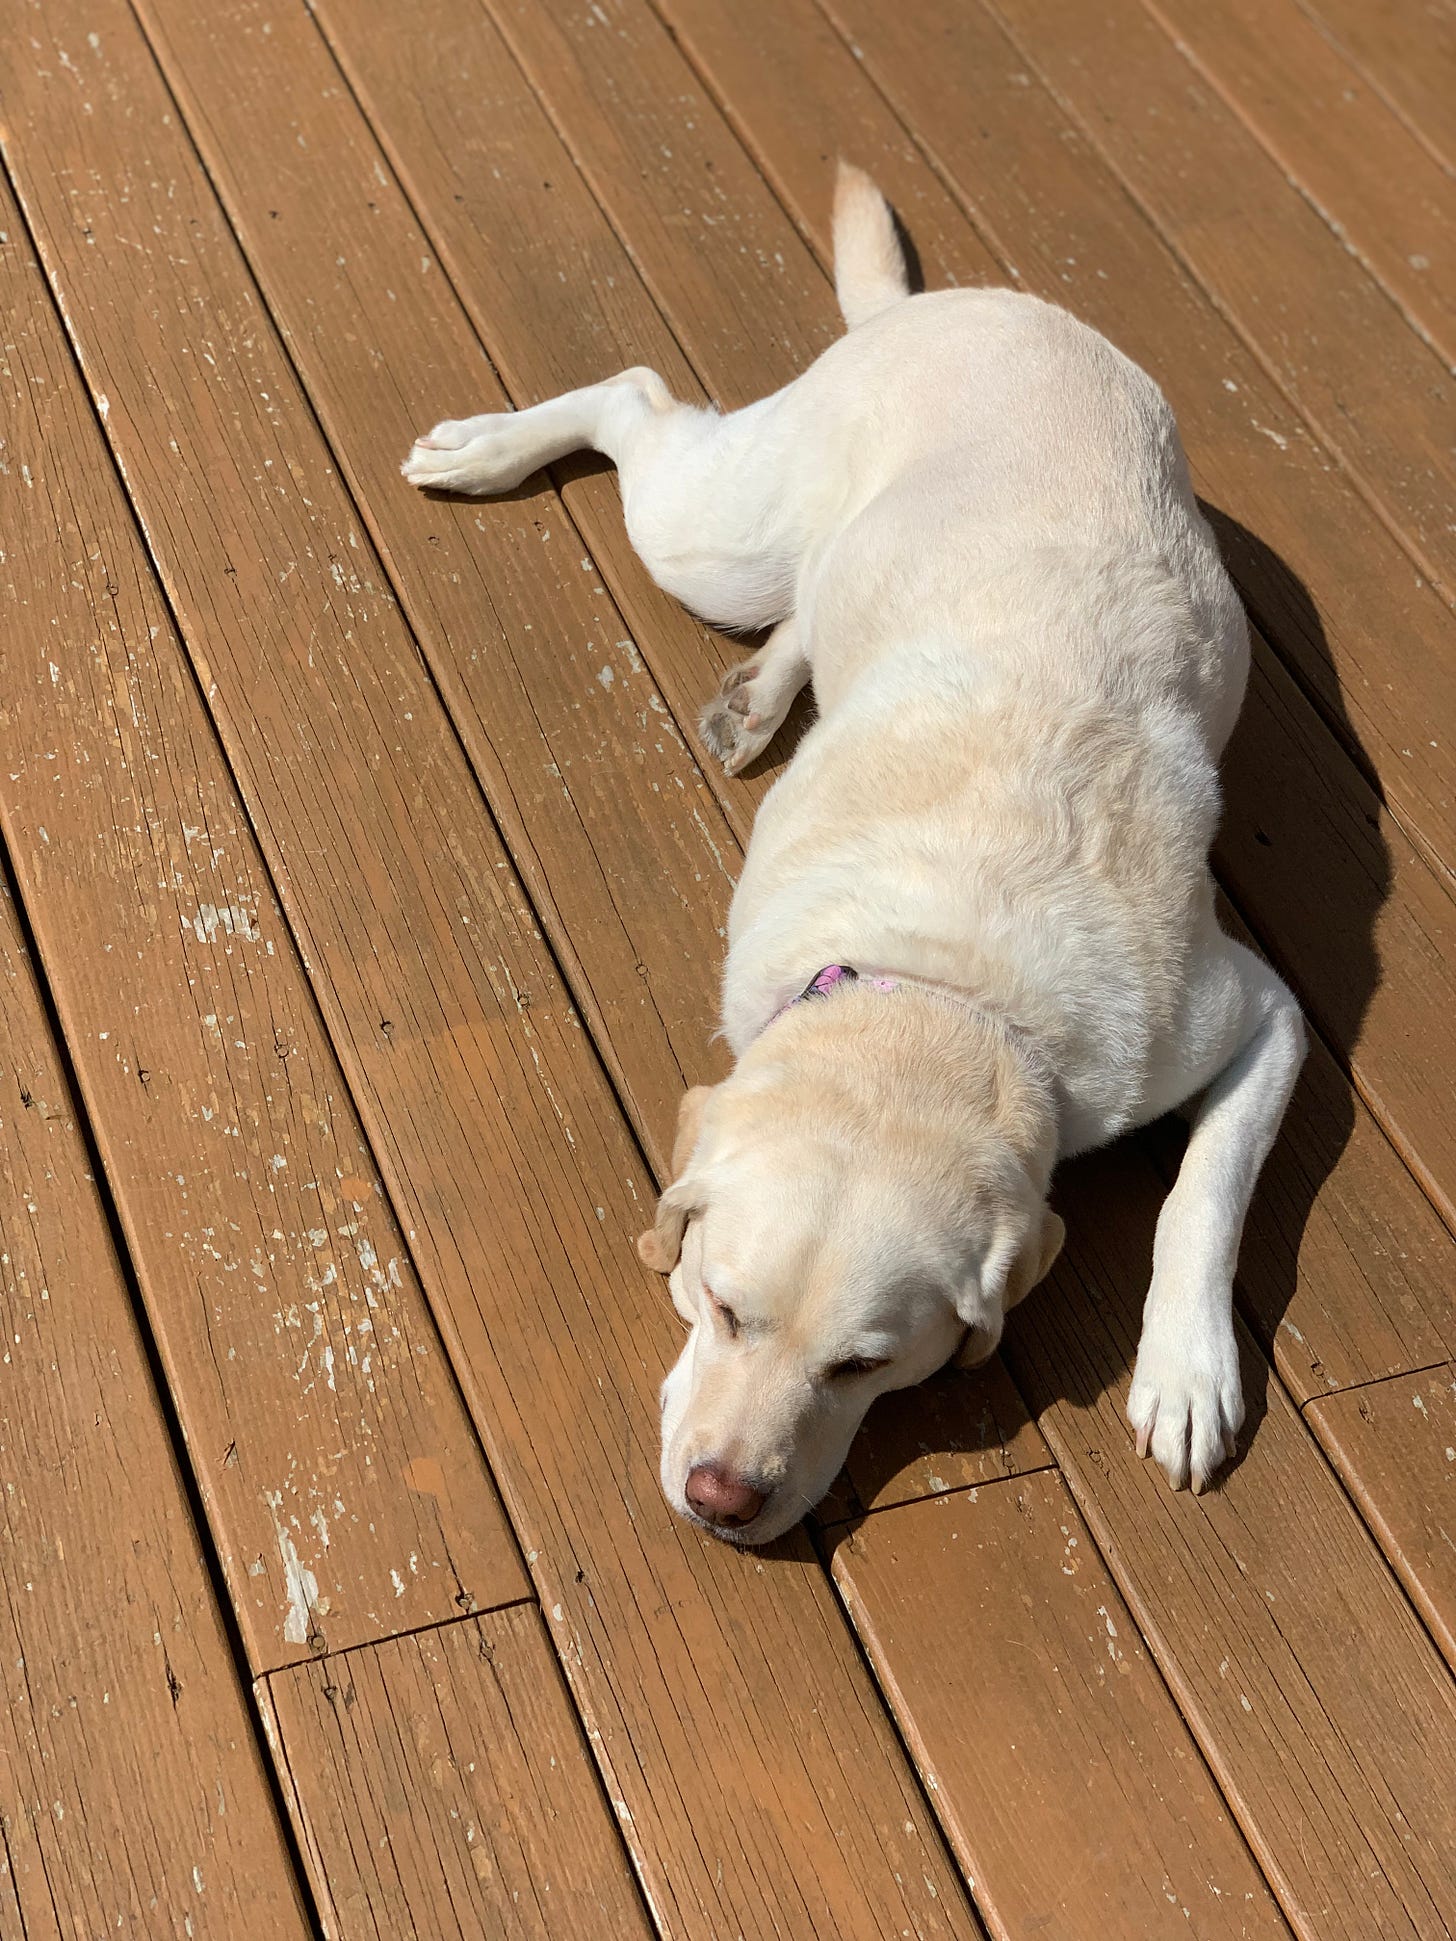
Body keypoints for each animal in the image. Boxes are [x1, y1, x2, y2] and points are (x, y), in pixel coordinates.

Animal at [405, 163, 1304, 1545]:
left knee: (798, 590)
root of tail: (950, 305)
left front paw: (1187, 1369)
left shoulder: (1249, 1015)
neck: (946, 991)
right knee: (637, 397)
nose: (723, 1499)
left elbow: (1202, 1195)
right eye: (720, 1304)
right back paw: (489, 450)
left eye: (865, 1365)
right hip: (719, 538)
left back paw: (761, 695)